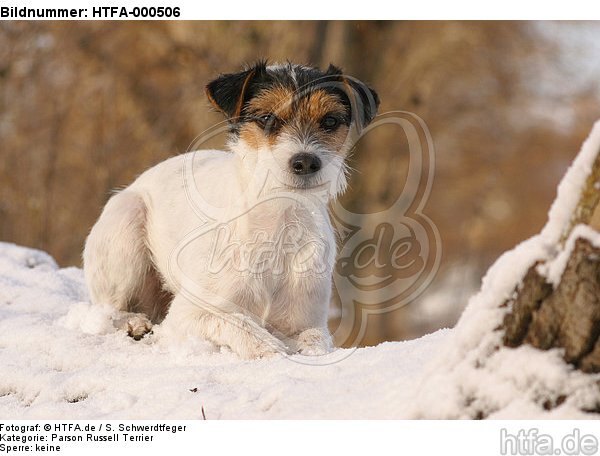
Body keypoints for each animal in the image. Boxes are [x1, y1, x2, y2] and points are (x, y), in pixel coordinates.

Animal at [82, 61, 378, 360]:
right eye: (266, 118)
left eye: (329, 121)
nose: (306, 162)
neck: (279, 222)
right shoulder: (188, 315)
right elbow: (239, 323)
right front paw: (272, 348)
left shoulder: (307, 321)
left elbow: (315, 340)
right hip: (126, 228)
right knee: (109, 309)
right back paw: (134, 322)